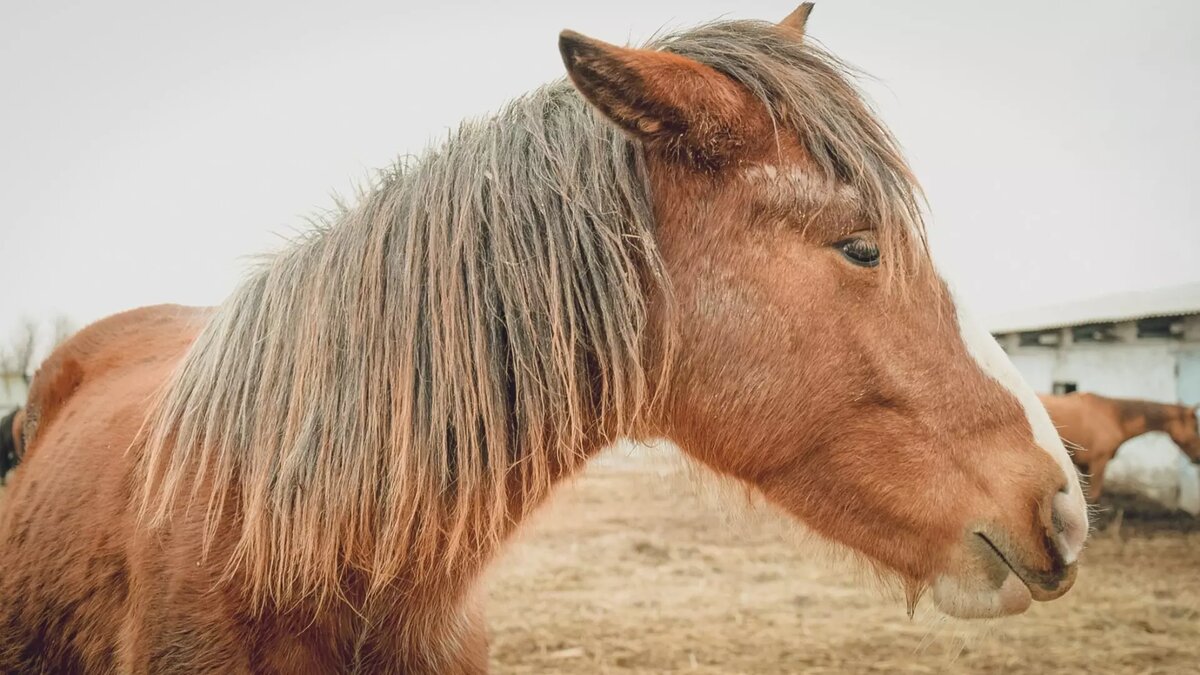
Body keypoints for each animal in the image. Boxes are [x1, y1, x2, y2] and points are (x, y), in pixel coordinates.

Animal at [1041, 389, 1200, 499]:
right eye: (1195, 428)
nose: (1198, 458)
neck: (1114, 417)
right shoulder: (1099, 461)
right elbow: (1094, 496)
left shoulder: (1086, 466)